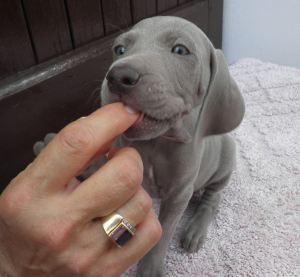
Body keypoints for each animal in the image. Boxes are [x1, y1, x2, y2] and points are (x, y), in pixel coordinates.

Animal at [34, 16, 244, 276]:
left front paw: (150, 268)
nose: (117, 76)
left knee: (213, 198)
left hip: (226, 159)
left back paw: (195, 229)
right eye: (119, 49)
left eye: (180, 50)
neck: (156, 143)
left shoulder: (179, 193)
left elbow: (164, 230)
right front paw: (71, 157)